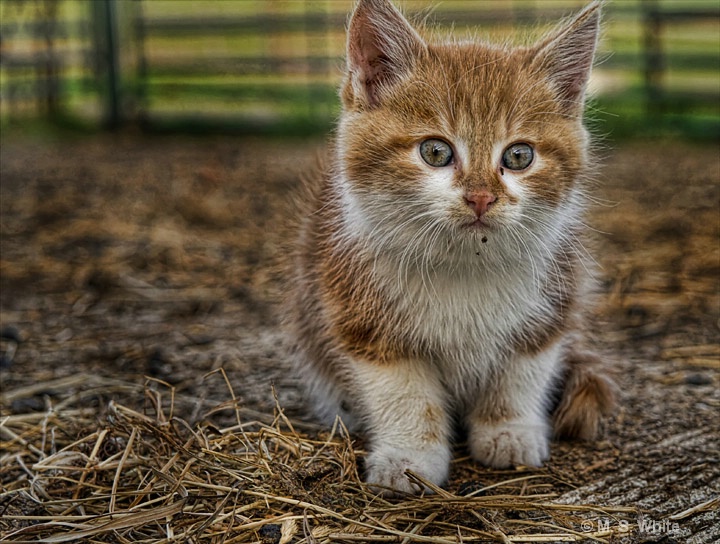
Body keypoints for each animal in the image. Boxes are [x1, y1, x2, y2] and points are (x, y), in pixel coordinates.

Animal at [286, 0, 612, 496]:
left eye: (519, 156)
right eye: (435, 152)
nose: (480, 197)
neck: (464, 264)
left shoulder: (553, 299)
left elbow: (522, 371)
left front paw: (508, 430)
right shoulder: (357, 312)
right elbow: (403, 394)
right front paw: (408, 457)